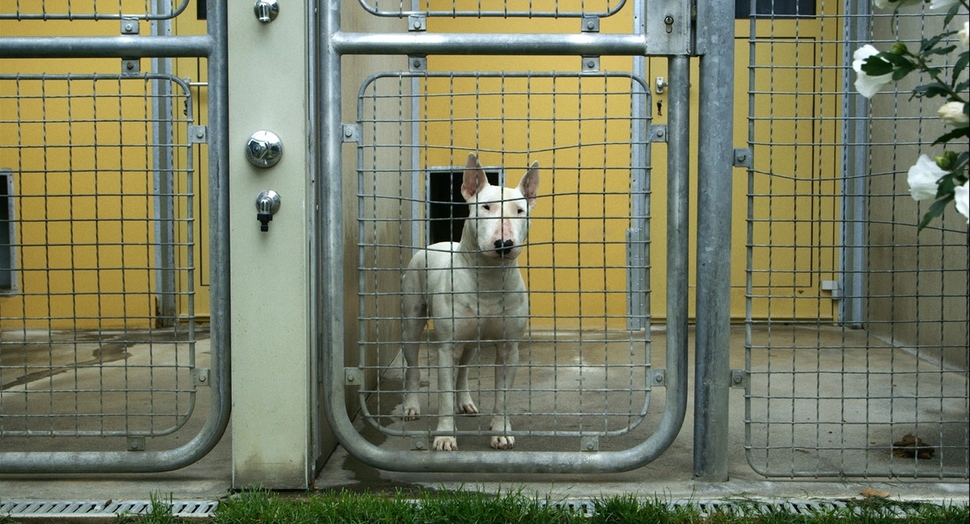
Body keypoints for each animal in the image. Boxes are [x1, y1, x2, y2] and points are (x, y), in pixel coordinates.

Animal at [398, 151, 540, 450]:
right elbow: (443, 395)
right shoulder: (446, 346)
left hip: (471, 342)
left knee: (463, 370)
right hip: (412, 321)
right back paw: (411, 406)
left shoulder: (509, 348)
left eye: (520, 211)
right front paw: (444, 436)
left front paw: (501, 431)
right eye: (485, 207)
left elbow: (503, 395)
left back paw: (465, 402)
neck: (487, 278)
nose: (503, 244)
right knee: (413, 367)